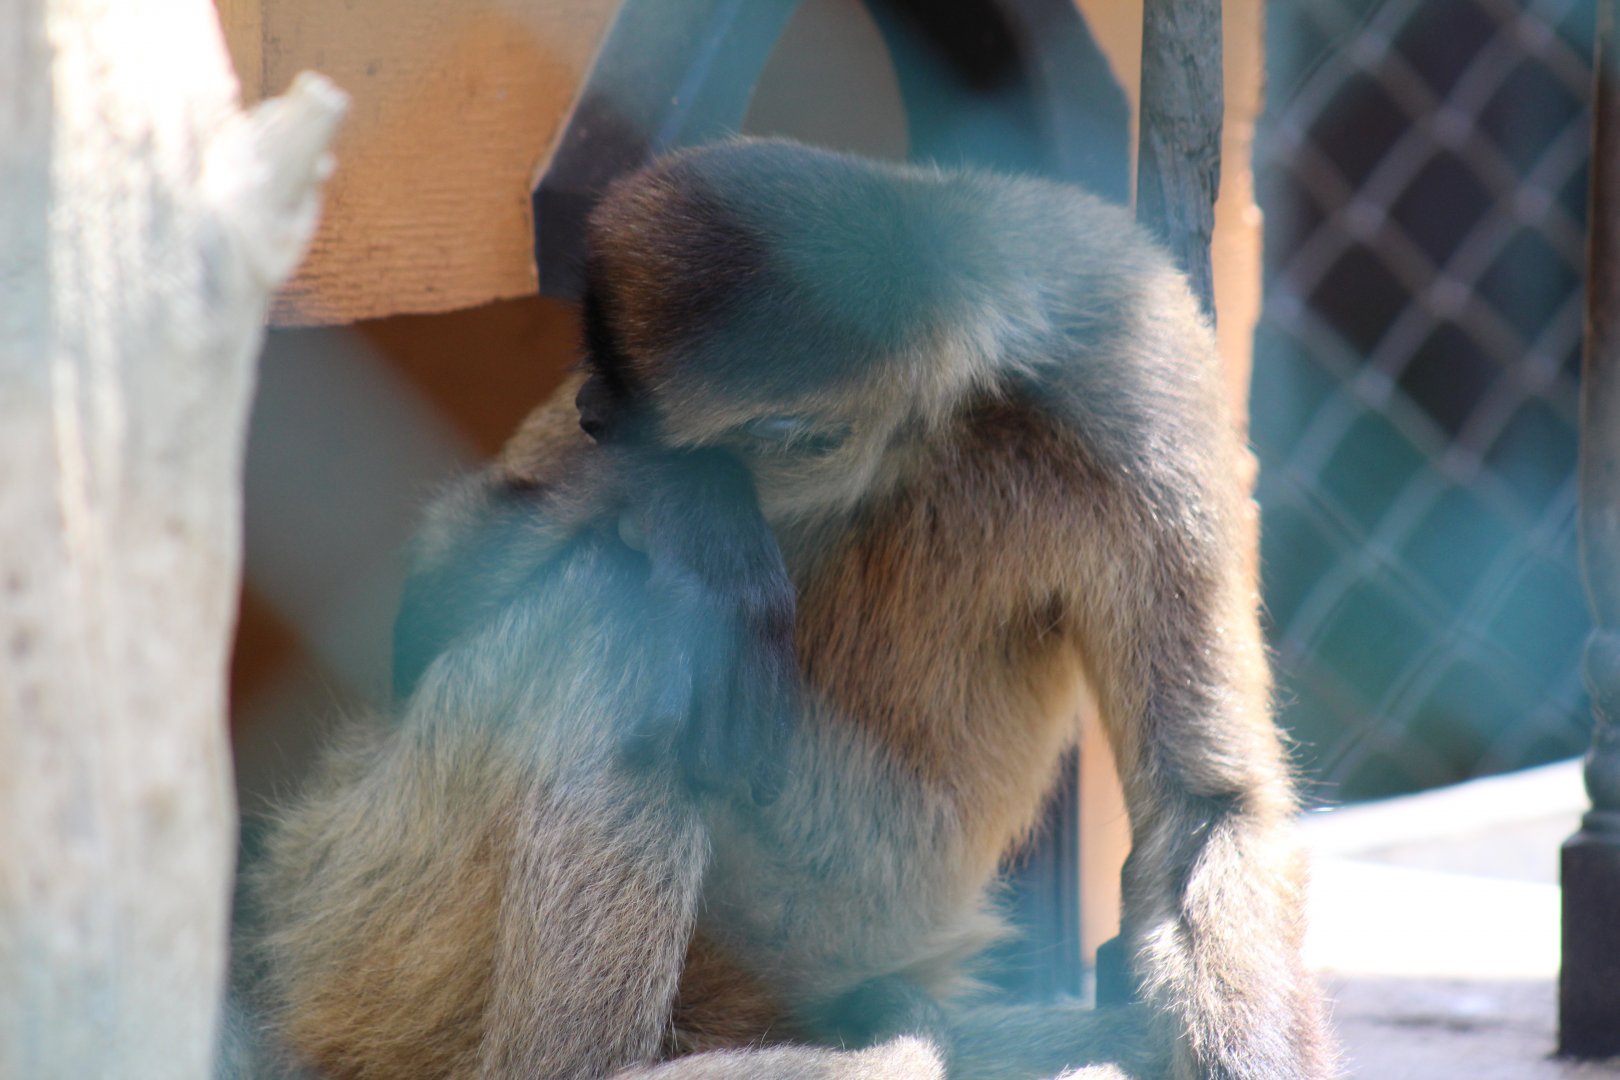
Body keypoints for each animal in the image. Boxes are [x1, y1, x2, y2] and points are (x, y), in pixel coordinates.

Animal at [240, 138, 1334, 1079]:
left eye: (625, 403)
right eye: (596, 380)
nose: (589, 409)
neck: (935, 421)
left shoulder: (1128, 346)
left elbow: (1206, 805)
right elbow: (420, 627)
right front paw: (698, 509)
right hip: (351, 895)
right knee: (629, 610)